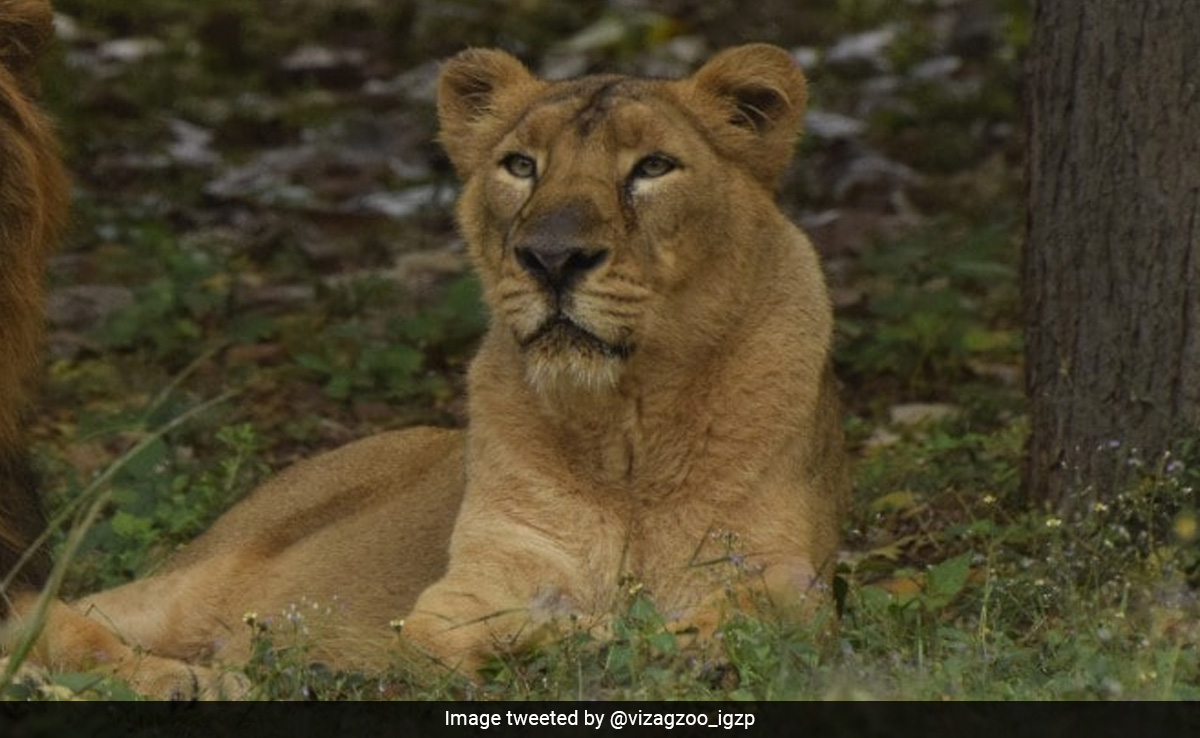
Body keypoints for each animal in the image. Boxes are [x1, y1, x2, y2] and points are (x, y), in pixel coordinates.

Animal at [2, 42, 847, 698]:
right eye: (520, 165)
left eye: (655, 167)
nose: (551, 257)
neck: (623, 429)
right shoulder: (470, 584)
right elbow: (458, 632)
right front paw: (576, 642)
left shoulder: (785, 570)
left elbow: (759, 611)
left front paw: (677, 650)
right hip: (184, 586)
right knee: (58, 620)